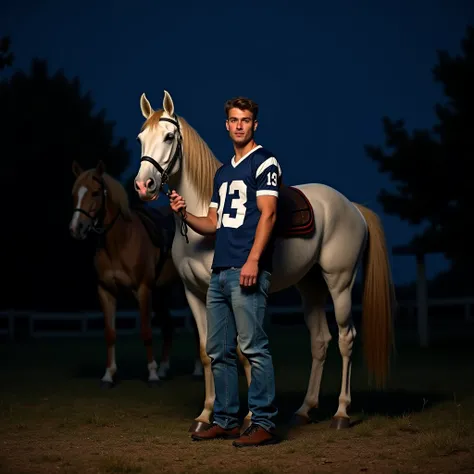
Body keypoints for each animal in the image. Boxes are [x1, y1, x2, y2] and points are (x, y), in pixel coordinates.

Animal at [68, 161, 198, 386]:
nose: (76, 228)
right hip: (161, 294)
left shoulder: (143, 290)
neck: (121, 241)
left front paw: (152, 373)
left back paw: (197, 368)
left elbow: (146, 331)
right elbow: (110, 333)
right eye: (75, 194)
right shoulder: (106, 292)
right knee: (169, 327)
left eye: (95, 193)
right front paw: (109, 375)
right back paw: (165, 368)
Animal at [131, 90, 394, 434]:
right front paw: (206, 415)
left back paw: (341, 412)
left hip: (340, 283)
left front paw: (248, 418)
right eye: (140, 139)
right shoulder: (195, 294)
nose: (143, 186)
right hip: (310, 286)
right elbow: (207, 352)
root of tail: (352, 207)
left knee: (346, 338)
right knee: (320, 341)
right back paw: (305, 409)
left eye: (169, 136)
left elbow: (244, 352)